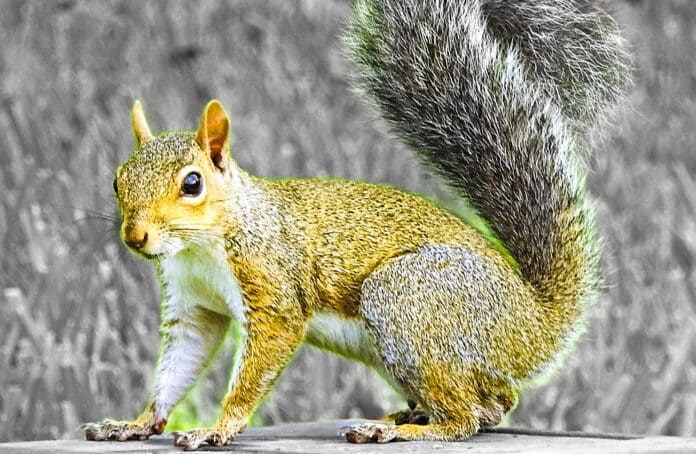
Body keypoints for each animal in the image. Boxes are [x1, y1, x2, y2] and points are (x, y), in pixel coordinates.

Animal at [83, 0, 631, 450]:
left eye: (192, 184)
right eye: (116, 180)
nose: (135, 236)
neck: (201, 245)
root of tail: (533, 323)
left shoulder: (272, 287)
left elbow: (258, 364)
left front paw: (216, 428)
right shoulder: (194, 306)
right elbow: (179, 364)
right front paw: (137, 423)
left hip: (407, 299)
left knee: (468, 417)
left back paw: (400, 430)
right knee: (494, 403)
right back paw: (406, 415)